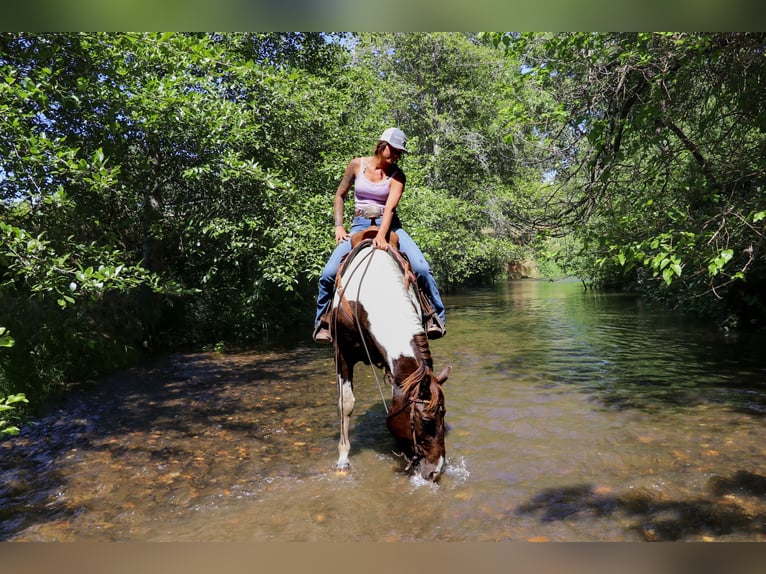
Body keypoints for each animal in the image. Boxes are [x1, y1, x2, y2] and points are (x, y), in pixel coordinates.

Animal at [330, 236, 450, 484]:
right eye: (426, 421)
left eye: (444, 414)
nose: (435, 472)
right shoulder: (342, 354)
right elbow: (346, 404)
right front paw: (343, 460)